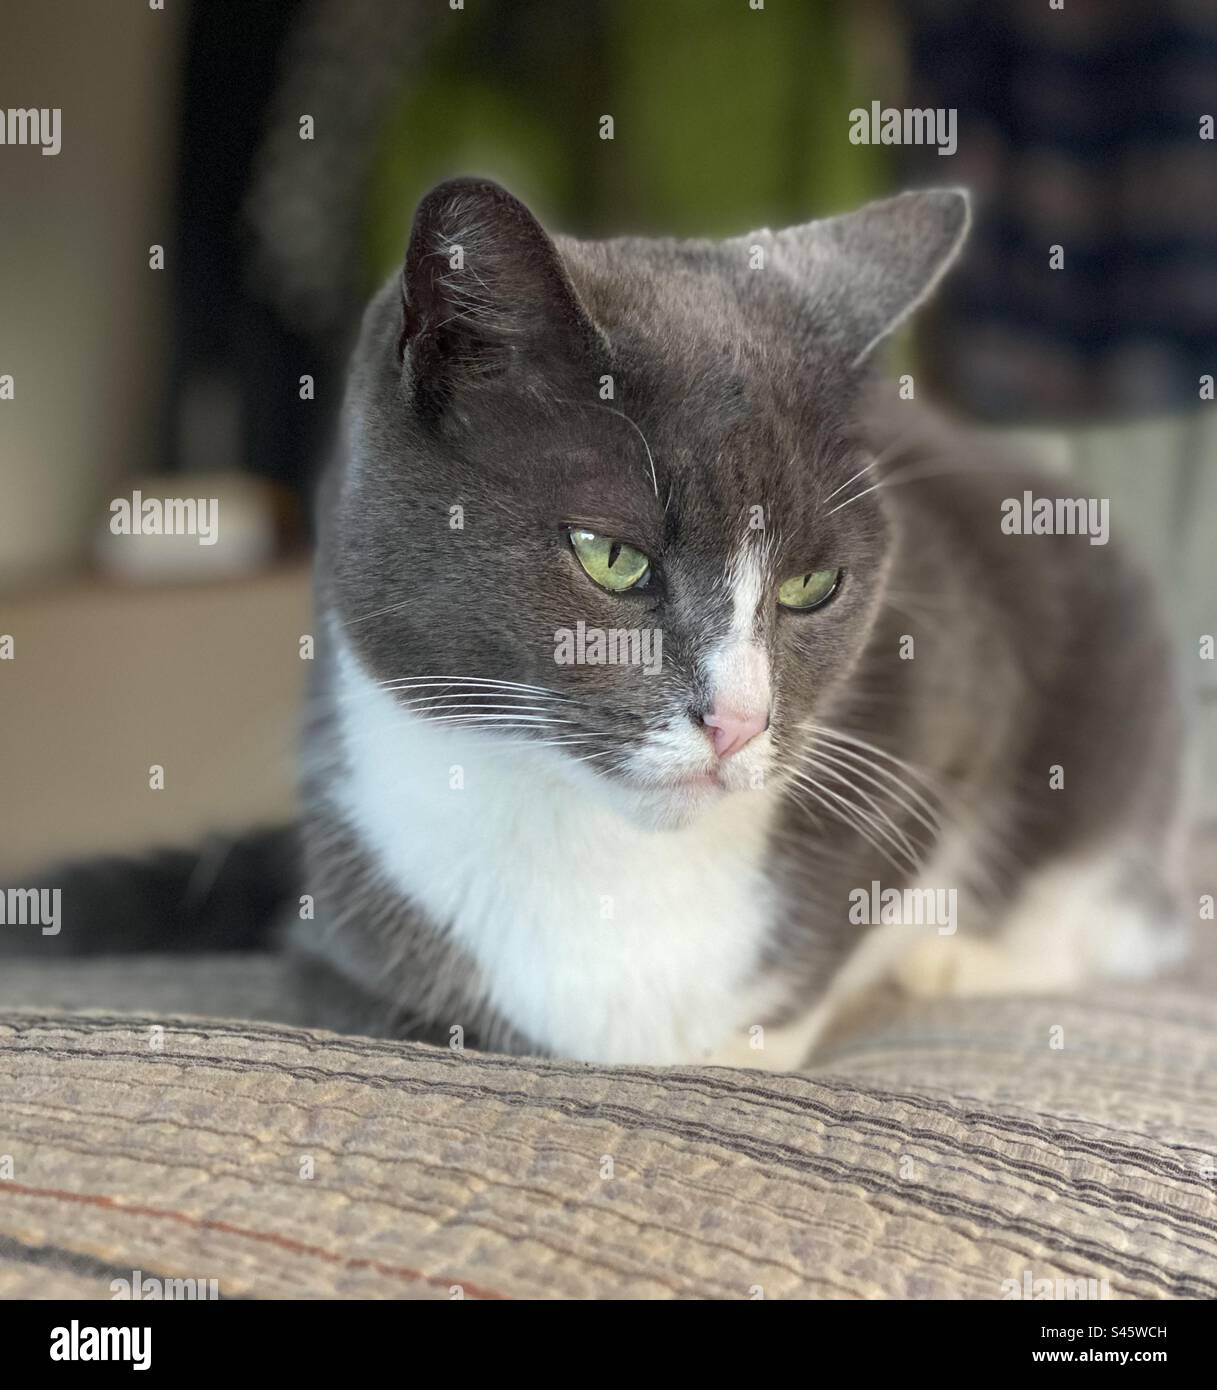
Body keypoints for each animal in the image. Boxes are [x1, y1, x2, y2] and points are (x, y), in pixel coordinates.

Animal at [9, 173, 1189, 1061]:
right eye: (610, 557)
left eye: (812, 586)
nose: (738, 722)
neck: (596, 850)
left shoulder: (956, 707)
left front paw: (758, 1038)